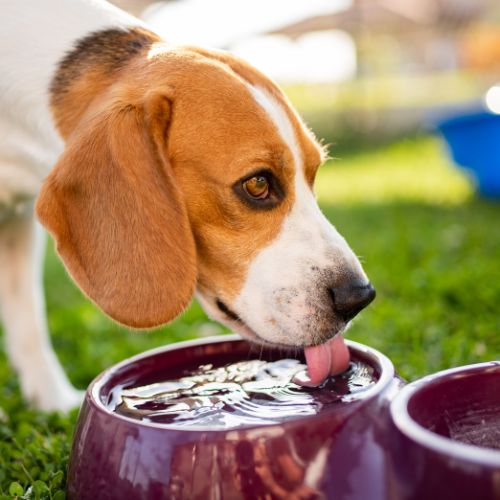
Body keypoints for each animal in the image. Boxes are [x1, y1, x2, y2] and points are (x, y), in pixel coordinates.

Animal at [0, 0, 376, 410]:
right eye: (258, 183)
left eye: (313, 173)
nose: (358, 297)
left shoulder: (19, 225)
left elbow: (28, 318)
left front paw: (52, 402)